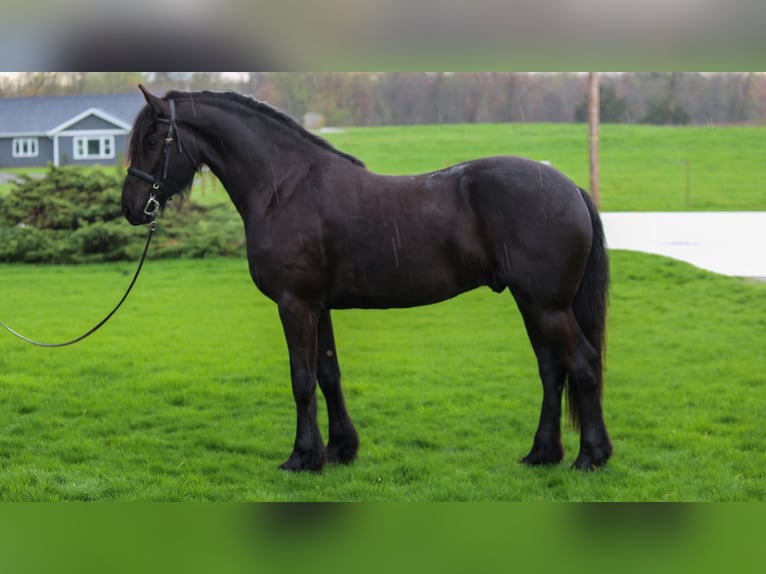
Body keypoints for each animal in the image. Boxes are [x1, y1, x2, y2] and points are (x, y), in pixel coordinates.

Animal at [122, 85, 612, 472]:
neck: (285, 187)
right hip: (532, 304)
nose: (131, 207)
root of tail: (570, 187)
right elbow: (328, 374)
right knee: (552, 371)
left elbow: (302, 379)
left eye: (153, 139)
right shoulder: (318, 306)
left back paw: (590, 456)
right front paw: (340, 449)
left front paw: (302, 457)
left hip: (547, 306)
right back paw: (542, 453)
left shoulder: (294, 304)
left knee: (583, 365)